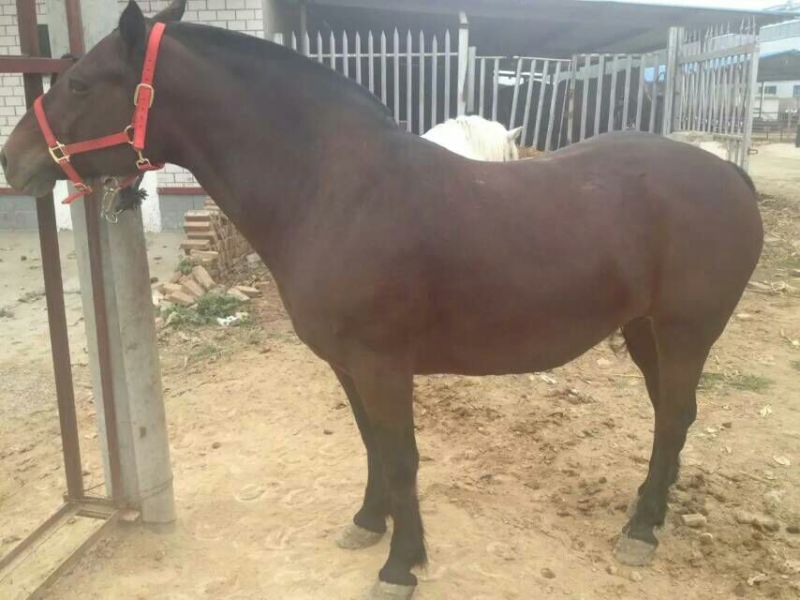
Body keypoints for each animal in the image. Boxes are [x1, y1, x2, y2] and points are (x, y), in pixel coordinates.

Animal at [1, 2, 763, 598]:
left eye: (79, 82)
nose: (14, 160)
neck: (333, 190)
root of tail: (730, 175)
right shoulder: (348, 366)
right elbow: (373, 447)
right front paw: (372, 525)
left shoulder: (382, 365)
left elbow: (400, 457)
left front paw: (402, 564)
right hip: (643, 331)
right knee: (671, 414)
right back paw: (648, 512)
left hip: (684, 332)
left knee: (674, 416)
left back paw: (642, 528)